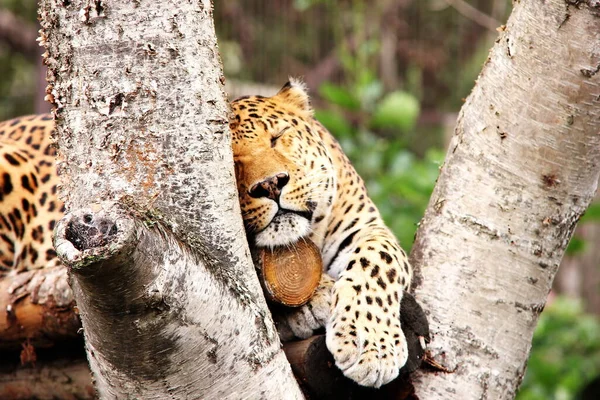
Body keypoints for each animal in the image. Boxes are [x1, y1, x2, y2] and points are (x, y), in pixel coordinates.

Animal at [2, 79, 428, 390]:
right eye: (231, 162)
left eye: (277, 137)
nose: (271, 185)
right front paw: (317, 301)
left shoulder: (365, 226)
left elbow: (380, 262)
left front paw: (371, 346)